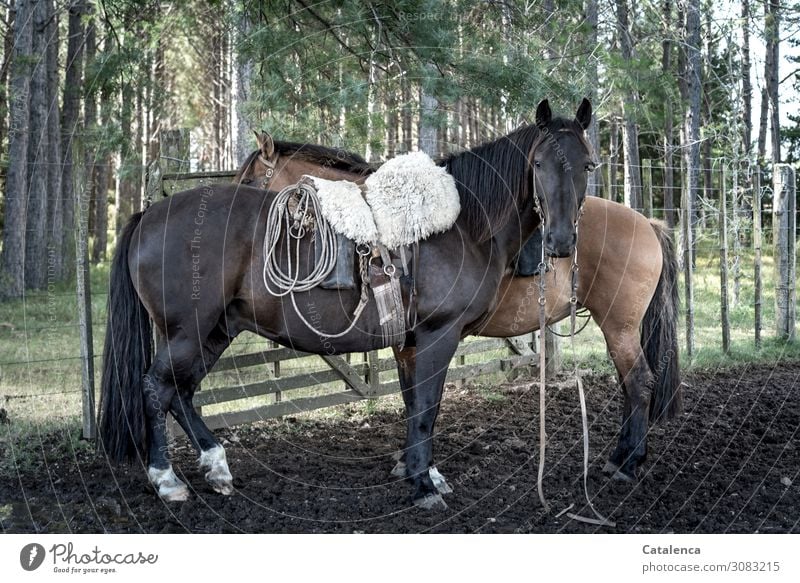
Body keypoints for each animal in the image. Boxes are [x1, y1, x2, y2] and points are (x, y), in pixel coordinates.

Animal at [98, 98, 600, 508]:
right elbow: (427, 408)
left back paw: (216, 467)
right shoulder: (439, 335)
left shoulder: (409, 343)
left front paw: (419, 472)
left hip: (214, 330)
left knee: (179, 392)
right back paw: (167, 480)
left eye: (588, 165)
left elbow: (416, 406)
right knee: (156, 387)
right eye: (538, 163)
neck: (461, 225)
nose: (560, 241)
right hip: (188, 332)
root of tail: (148, 215)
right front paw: (423, 486)